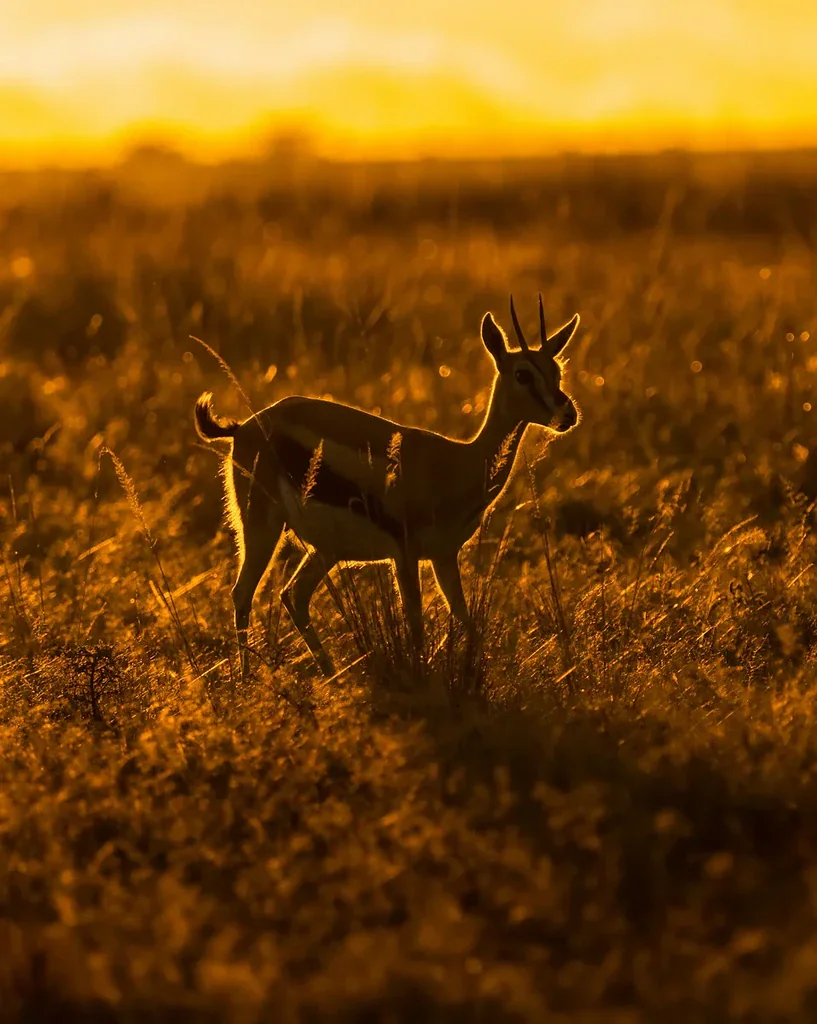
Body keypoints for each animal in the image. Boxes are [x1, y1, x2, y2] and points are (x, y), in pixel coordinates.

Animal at [194, 295, 581, 678]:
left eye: (557, 371)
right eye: (522, 373)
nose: (568, 414)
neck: (459, 462)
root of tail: (245, 425)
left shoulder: (443, 555)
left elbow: (465, 621)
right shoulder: (406, 555)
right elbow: (417, 628)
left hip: (326, 549)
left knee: (293, 595)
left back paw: (332, 675)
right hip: (262, 525)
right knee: (243, 593)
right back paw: (248, 680)